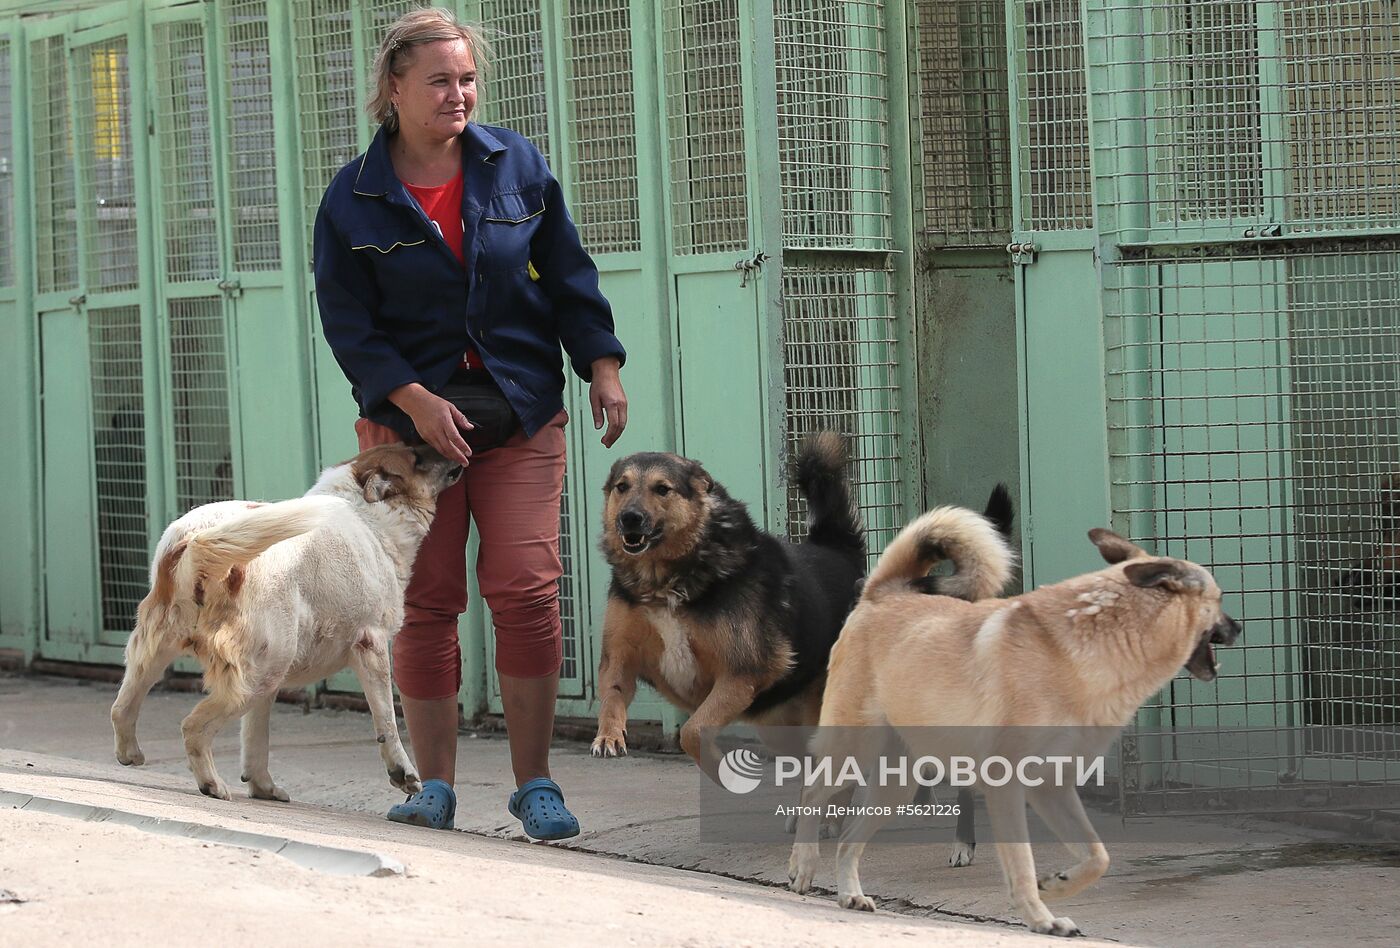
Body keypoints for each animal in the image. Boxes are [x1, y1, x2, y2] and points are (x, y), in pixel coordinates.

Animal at [110, 442, 459, 800]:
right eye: (417, 459)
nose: (459, 449)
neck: (367, 516)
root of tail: (197, 542)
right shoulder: (370, 646)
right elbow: (387, 719)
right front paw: (402, 772)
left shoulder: (268, 685)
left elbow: (255, 736)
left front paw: (262, 786)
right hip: (261, 671)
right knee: (192, 726)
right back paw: (211, 784)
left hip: (172, 656)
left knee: (121, 708)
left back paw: (129, 753)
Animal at [590, 431, 862, 778]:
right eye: (621, 487)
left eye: (662, 488)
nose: (629, 518)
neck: (666, 579)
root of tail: (838, 548)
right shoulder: (619, 657)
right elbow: (612, 695)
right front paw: (609, 736)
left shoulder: (742, 672)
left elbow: (692, 730)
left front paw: (722, 769)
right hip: (781, 728)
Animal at [795, 506, 1243, 935]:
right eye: (1221, 598)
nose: (1239, 627)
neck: (1097, 639)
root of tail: (881, 594)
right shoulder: (1007, 783)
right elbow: (1023, 864)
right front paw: (1042, 919)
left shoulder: (1053, 785)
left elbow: (1097, 854)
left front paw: (1058, 886)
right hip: (853, 749)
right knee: (812, 793)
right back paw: (801, 865)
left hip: (897, 784)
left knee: (849, 840)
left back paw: (850, 894)